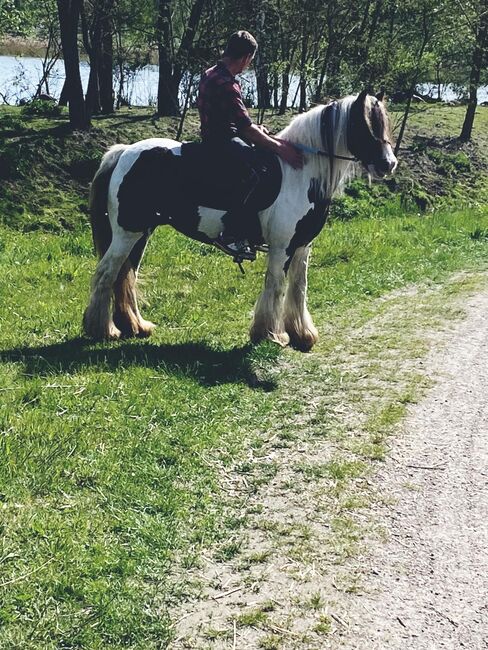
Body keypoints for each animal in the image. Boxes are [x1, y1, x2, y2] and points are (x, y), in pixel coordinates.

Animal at [83, 90, 396, 350]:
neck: (301, 173)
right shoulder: (282, 247)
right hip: (127, 233)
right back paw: (102, 330)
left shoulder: (302, 247)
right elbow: (276, 286)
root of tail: (125, 151)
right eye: (365, 124)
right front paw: (269, 335)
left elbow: (299, 287)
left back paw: (136, 327)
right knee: (106, 274)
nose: (389, 164)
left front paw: (302, 335)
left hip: (141, 234)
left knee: (125, 276)